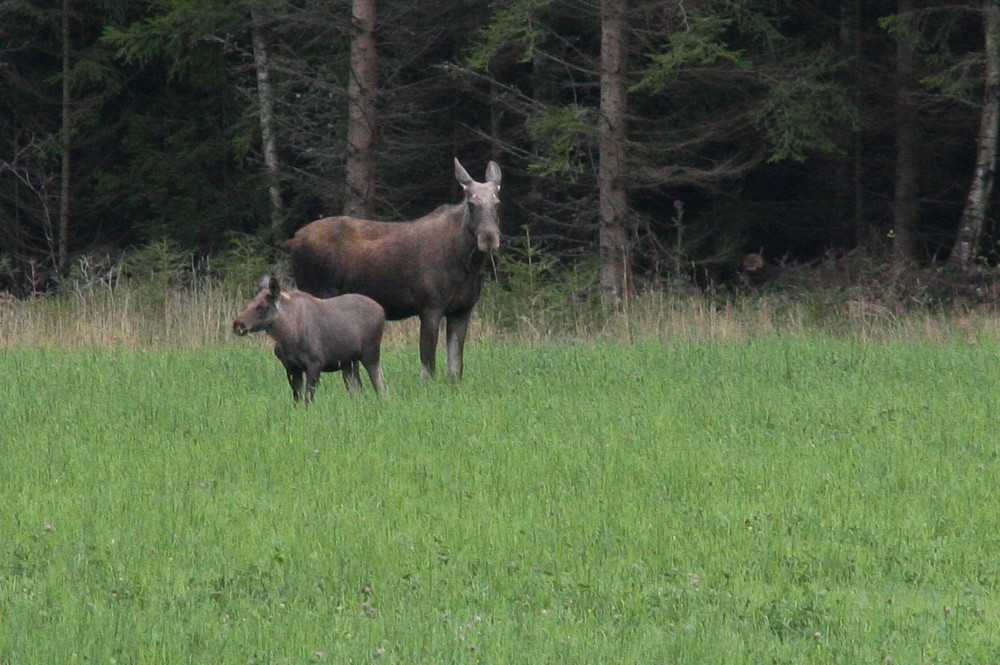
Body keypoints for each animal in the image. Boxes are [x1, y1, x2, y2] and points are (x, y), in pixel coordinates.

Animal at [233, 276, 386, 404]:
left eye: (262, 307)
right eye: (251, 303)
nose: (237, 324)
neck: (288, 337)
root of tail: (382, 310)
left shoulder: (314, 364)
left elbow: (308, 400)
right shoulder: (291, 367)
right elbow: (297, 399)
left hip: (370, 355)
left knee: (381, 385)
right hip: (349, 362)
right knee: (358, 390)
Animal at [290, 158, 500, 382]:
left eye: (497, 203)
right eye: (471, 203)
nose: (489, 237)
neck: (467, 265)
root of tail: (293, 240)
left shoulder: (462, 310)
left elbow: (455, 367)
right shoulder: (430, 306)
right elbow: (428, 363)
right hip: (319, 293)